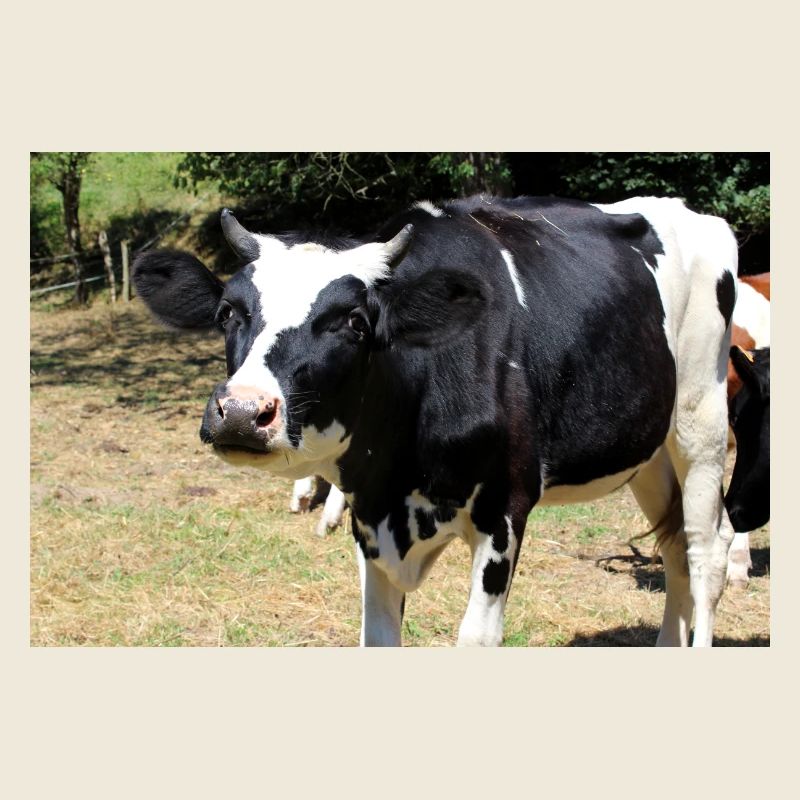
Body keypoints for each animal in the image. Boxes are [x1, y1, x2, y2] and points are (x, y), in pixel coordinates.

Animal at [133, 195, 739, 647]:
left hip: (701, 420)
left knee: (706, 553)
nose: (241, 411)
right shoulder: (370, 517)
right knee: (676, 549)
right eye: (227, 313)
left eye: (354, 322)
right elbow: (377, 635)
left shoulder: (505, 508)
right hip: (649, 452)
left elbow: (476, 635)